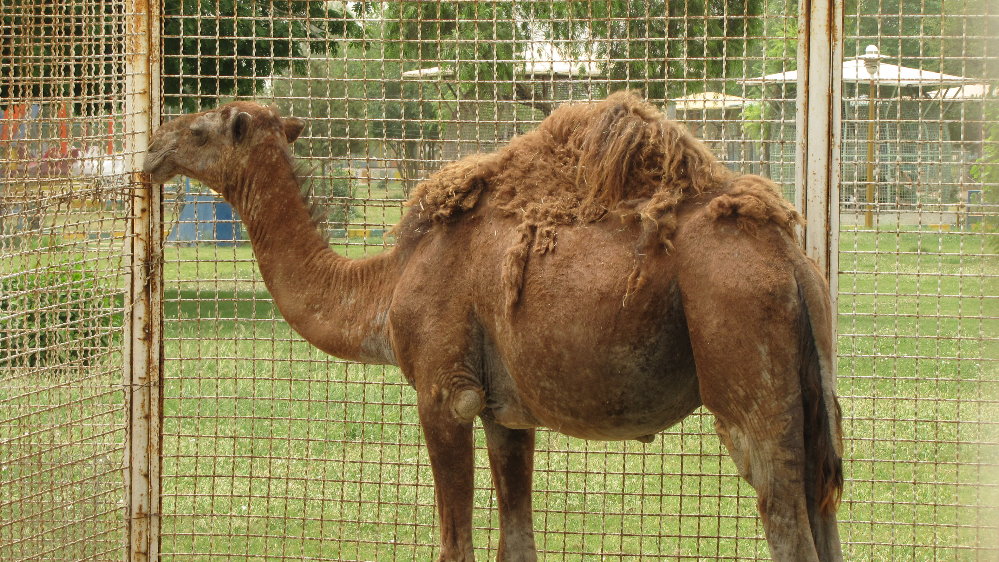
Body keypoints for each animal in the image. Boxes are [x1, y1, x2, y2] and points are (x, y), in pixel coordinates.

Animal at [144, 92, 844, 561]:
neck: (387, 285)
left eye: (201, 129)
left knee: (784, 514)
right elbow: (517, 540)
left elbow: (456, 544)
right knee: (822, 503)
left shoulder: (444, 392)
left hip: (741, 352)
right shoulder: (509, 411)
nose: (152, 145)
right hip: (810, 381)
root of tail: (788, 258)